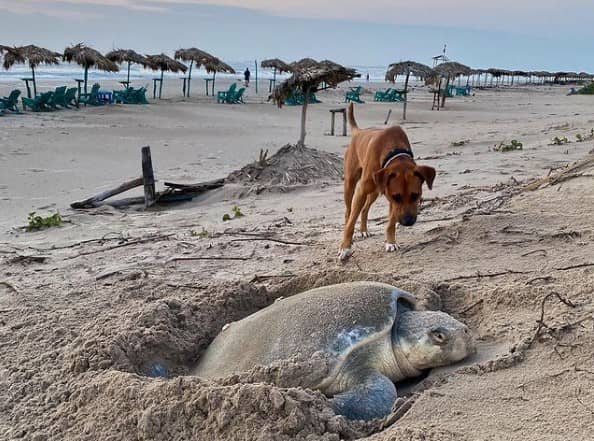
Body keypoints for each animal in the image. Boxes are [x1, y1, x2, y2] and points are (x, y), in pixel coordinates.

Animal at [338, 103, 434, 260]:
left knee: (365, 209)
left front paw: (390, 242)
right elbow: (352, 221)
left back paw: (364, 230)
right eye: (397, 196)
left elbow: (391, 222)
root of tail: (359, 131)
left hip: (375, 191)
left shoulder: (390, 197)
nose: (408, 222)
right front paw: (345, 247)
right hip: (350, 184)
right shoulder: (364, 192)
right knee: (349, 212)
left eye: (416, 195)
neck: (393, 150)